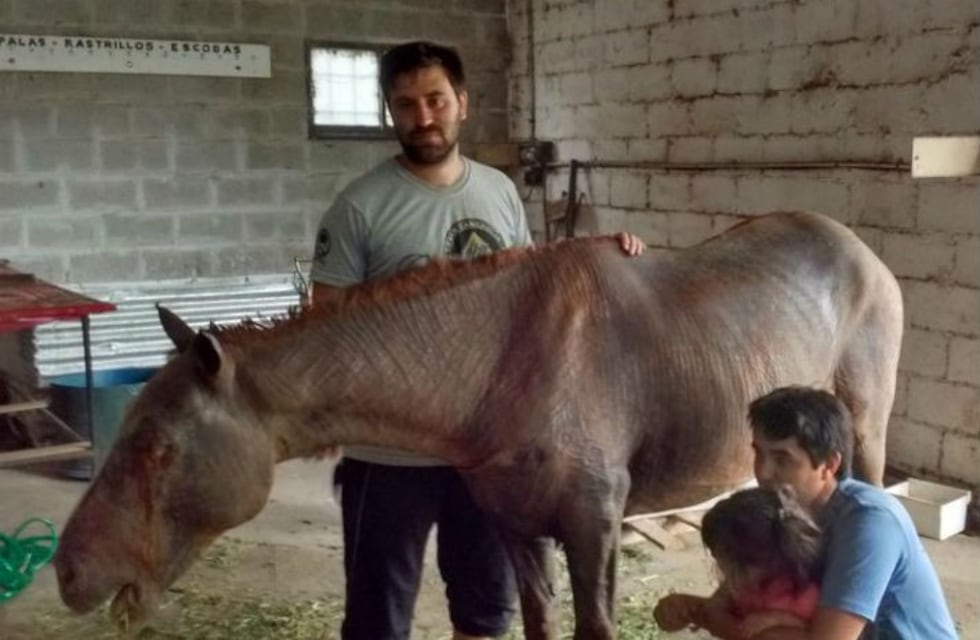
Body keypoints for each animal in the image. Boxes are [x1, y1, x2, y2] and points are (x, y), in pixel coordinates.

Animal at [53, 211, 903, 639]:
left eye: (157, 447)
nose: (68, 573)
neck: (500, 365)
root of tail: (860, 247)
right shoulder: (517, 527)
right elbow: (538, 624)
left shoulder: (591, 526)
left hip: (864, 429)